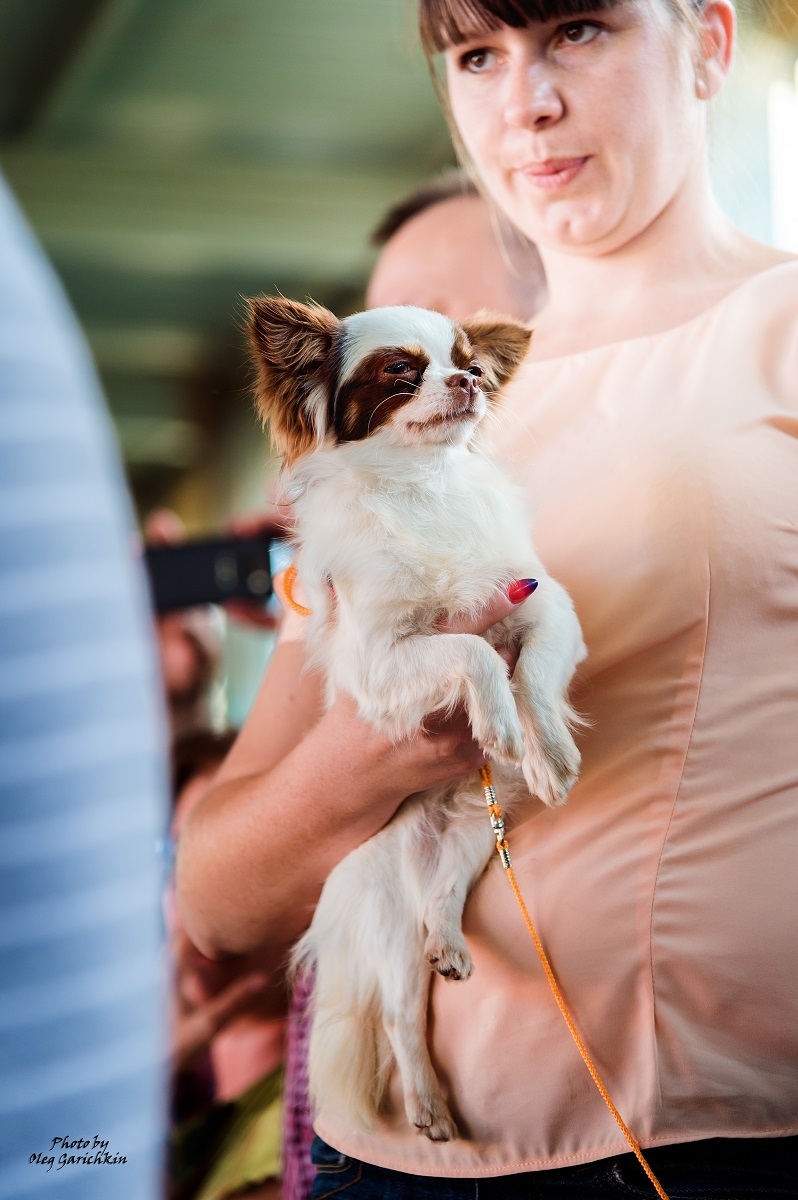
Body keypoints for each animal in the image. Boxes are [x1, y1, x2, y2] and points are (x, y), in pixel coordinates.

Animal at [249, 295, 585, 1137]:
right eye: (401, 371)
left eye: (471, 363)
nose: (467, 381)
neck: (423, 488)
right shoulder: (382, 661)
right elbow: (467, 648)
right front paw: (497, 722)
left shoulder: (544, 604)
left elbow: (534, 670)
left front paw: (546, 751)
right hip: (384, 915)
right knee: (402, 1015)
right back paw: (429, 1108)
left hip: (473, 835)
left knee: (444, 899)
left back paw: (451, 944)